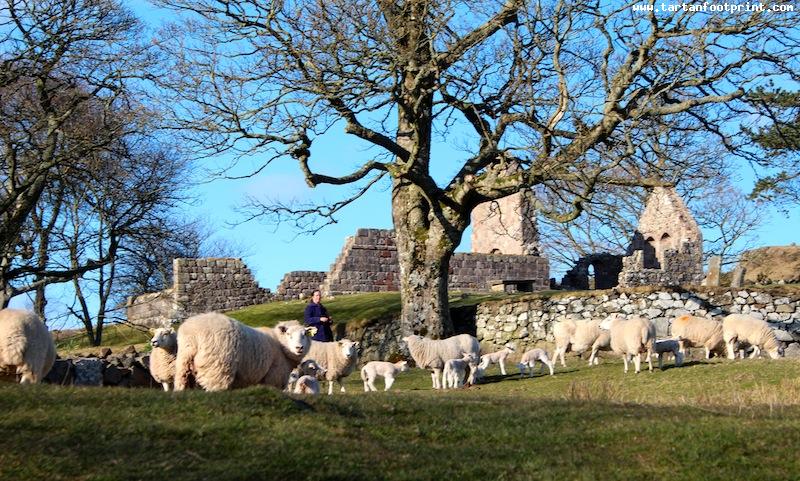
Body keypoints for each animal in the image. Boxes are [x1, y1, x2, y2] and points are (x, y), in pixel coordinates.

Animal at [173, 314, 314, 392]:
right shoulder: (274, 376)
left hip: (183, 366)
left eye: (305, 334)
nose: (299, 347)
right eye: (289, 334)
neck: (280, 345)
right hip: (217, 369)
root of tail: (193, 335)